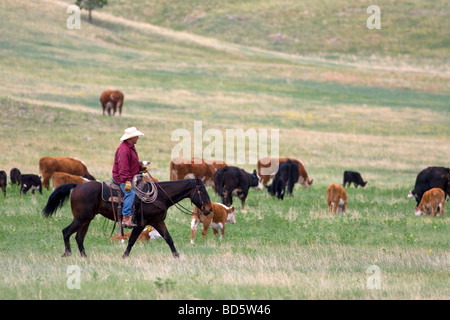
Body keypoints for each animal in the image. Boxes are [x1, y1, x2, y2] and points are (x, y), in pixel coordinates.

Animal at [41, 179, 212, 258]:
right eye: (202, 191)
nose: (209, 209)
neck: (159, 197)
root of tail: (77, 186)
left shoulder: (157, 221)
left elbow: (169, 239)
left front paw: (177, 257)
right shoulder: (141, 224)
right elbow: (131, 241)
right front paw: (124, 257)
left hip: (86, 220)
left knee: (78, 237)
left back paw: (84, 257)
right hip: (81, 218)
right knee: (66, 232)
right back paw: (67, 253)